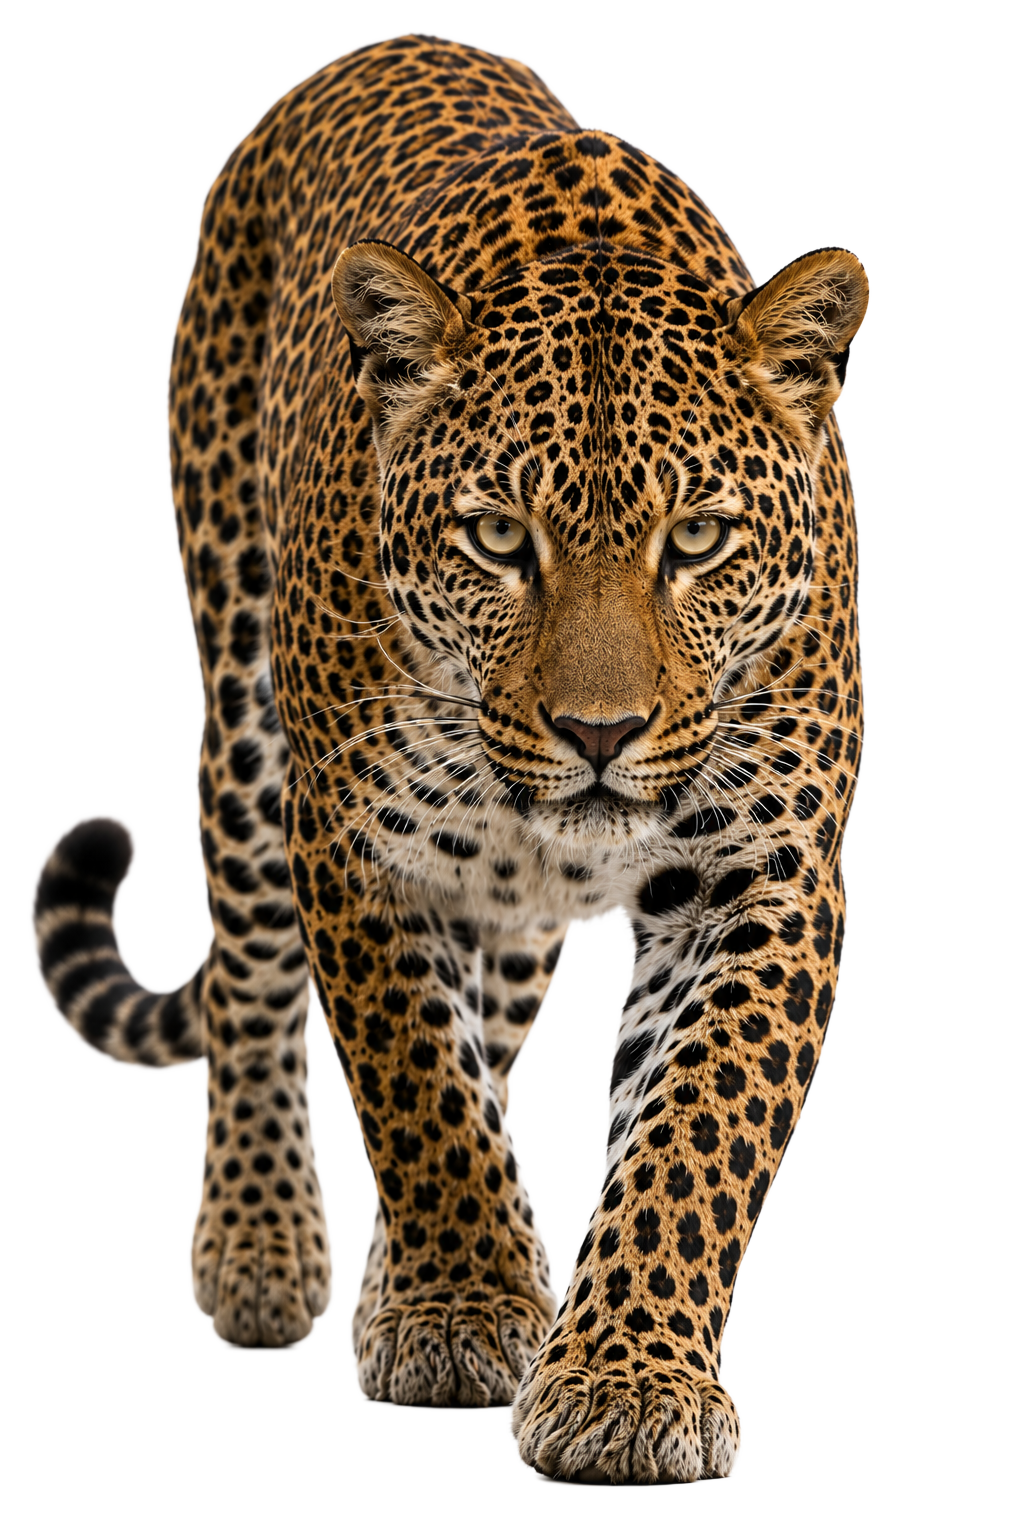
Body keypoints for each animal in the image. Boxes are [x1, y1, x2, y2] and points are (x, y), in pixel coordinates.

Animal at [33, 33, 868, 1484]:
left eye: (698, 540)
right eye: (495, 537)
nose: (601, 734)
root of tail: (395, 43)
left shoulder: (764, 873)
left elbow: (692, 1131)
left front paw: (624, 1376)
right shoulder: (357, 846)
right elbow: (417, 1088)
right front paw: (466, 1310)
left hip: (513, 906)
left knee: (497, 1031)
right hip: (243, 717)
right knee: (253, 982)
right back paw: (263, 1246)